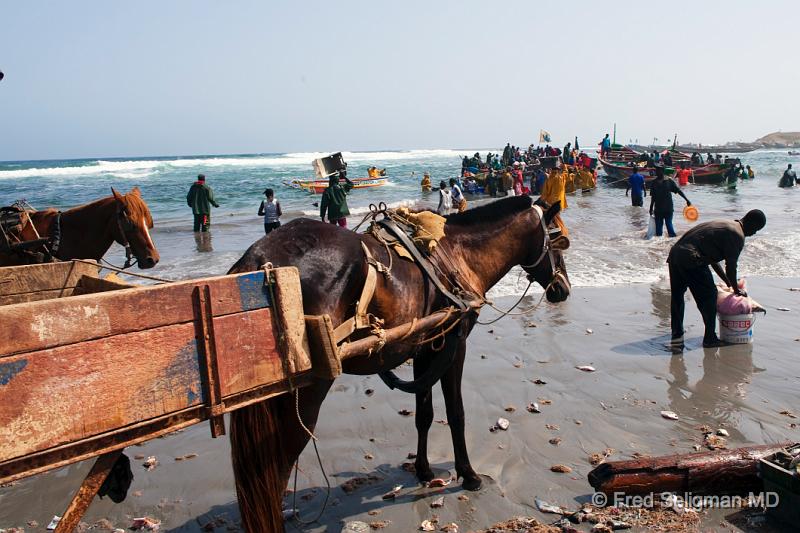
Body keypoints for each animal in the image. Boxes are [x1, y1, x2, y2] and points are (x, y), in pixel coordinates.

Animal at [228, 194, 572, 528]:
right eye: (557, 241)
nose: (563, 290)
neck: (456, 254)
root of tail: (259, 261)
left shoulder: (424, 347)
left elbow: (424, 414)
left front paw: (423, 470)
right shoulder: (454, 344)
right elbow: (456, 413)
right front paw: (469, 474)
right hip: (306, 392)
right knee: (276, 467)